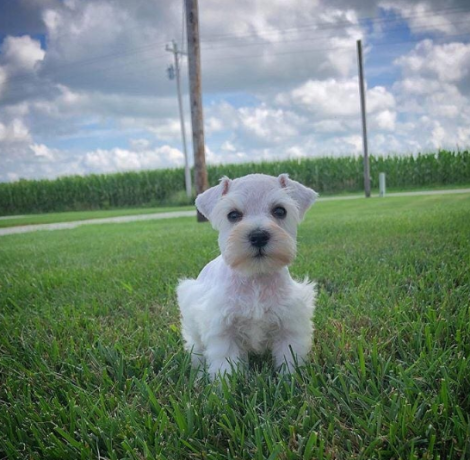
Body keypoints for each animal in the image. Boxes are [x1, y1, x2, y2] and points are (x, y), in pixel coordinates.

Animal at [178, 172, 318, 378]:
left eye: (280, 211)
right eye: (233, 215)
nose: (258, 236)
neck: (256, 278)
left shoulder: (290, 325)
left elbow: (289, 358)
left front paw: (291, 379)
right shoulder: (223, 330)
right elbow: (225, 365)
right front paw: (225, 383)